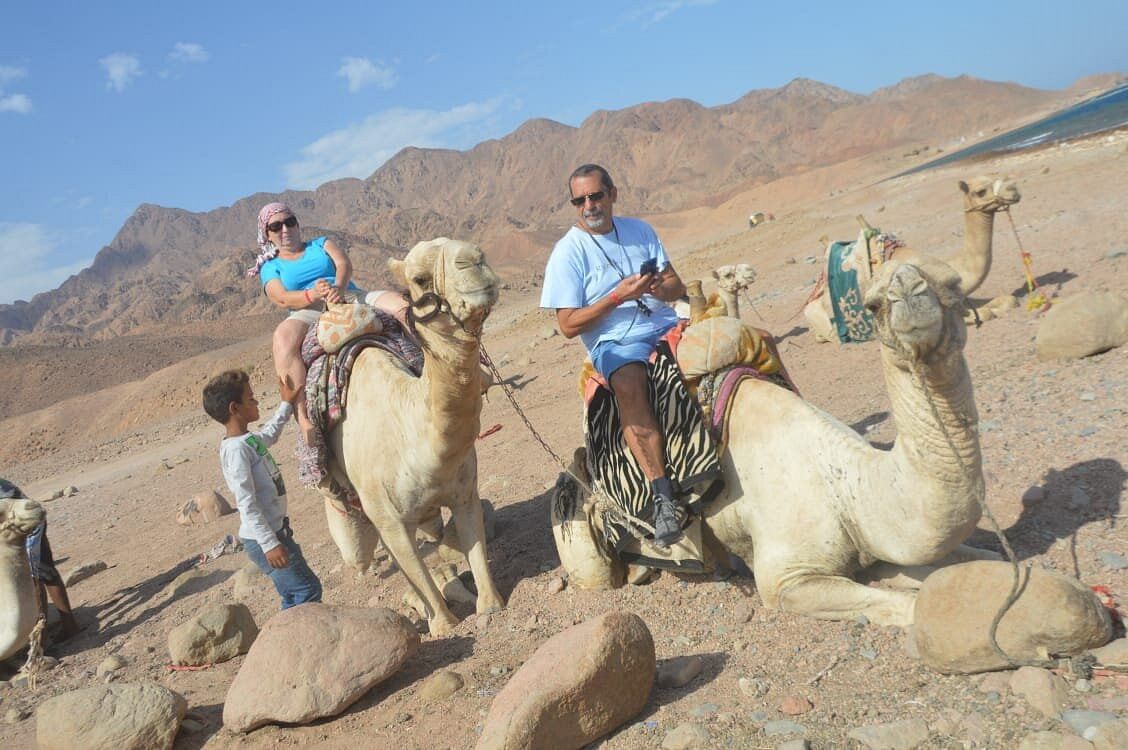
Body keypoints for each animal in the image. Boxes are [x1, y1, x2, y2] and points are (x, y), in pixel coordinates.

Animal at [326, 238, 505, 635]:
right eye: (420, 279)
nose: (475, 260)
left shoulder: (465, 491)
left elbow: (477, 549)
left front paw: (490, 605)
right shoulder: (388, 518)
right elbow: (416, 573)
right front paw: (443, 623)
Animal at [554, 258, 997, 627]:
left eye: (953, 283)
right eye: (872, 305)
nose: (908, 289)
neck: (848, 488)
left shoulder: (878, 547)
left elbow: (982, 559)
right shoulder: (786, 578)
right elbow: (907, 606)